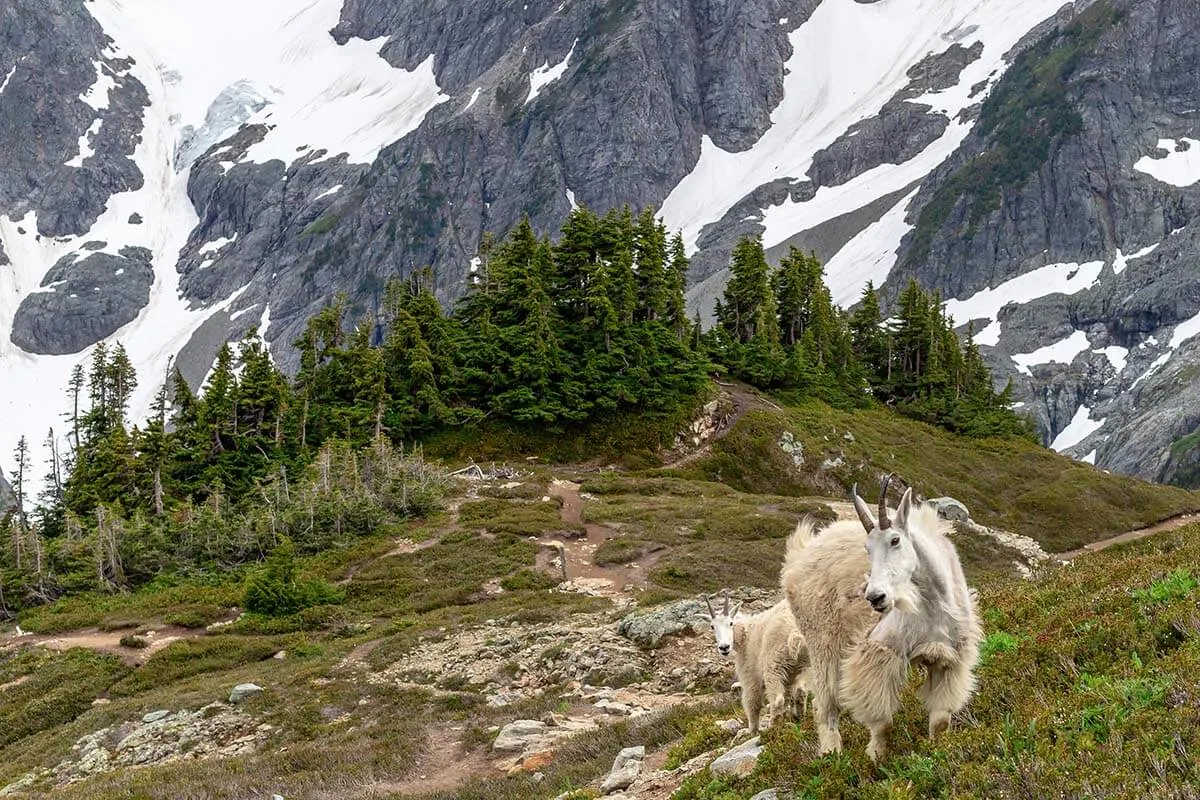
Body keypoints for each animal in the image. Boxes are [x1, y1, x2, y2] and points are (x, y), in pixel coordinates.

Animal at [782, 474, 979, 762]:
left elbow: (941, 720)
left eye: (895, 540)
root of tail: (798, 558)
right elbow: (882, 721)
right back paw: (832, 755)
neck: (933, 604)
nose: (875, 597)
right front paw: (876, 758)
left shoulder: (948, 659)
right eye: (867, 548)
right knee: (825, 703)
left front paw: (936, 755)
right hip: (823, 643)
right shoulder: (879, 650)